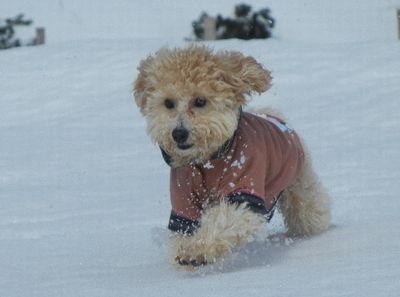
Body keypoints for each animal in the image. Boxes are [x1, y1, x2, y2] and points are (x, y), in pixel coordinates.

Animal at [133, 45, 330, 268]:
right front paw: (185, 254)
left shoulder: (245, 188)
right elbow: (183, 232)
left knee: (311, 210)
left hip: (299, 184)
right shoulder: (182, 203)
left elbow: (224, 220)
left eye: (200, 101)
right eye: (168, 103)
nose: (178, 133)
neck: (207, 161)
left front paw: (198, 249)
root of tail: (274, 116)